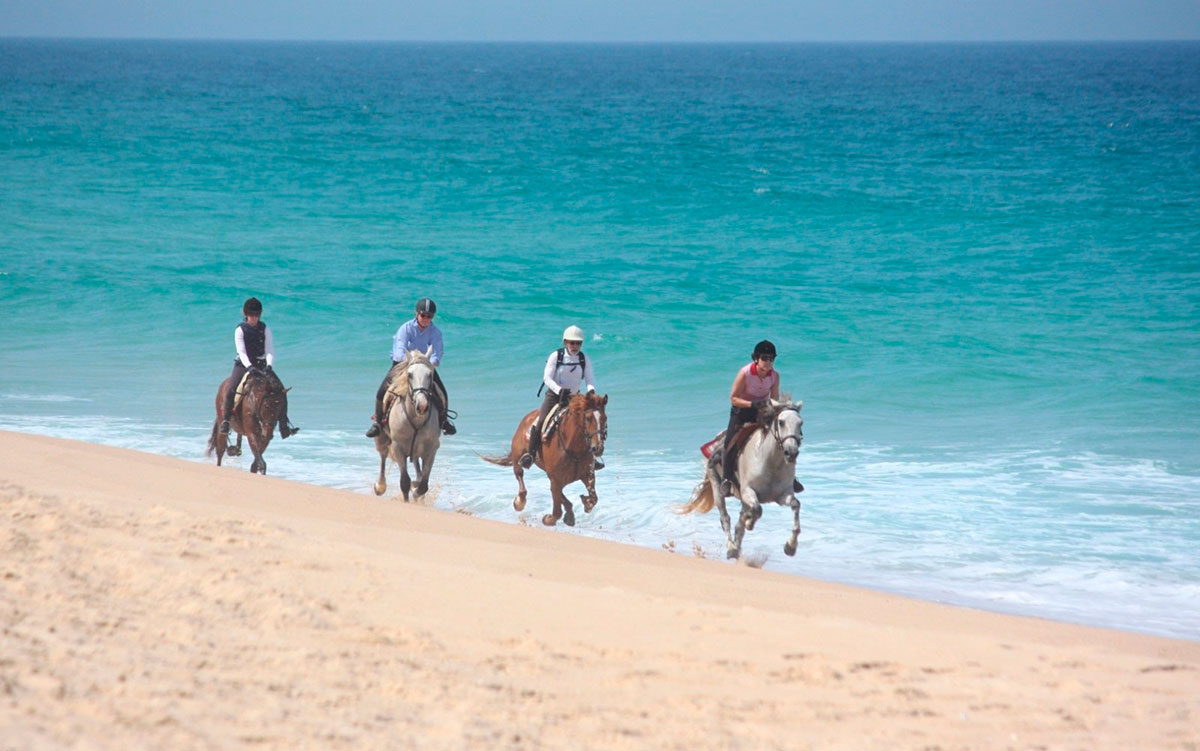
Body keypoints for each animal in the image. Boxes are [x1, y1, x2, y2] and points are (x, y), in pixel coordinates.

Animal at [372, 345, 444, 499]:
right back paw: (380, 486)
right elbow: (404, 482)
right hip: (383, 437)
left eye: (430, 374)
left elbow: (423, 484)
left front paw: (417, 493)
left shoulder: (431, 449)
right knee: (383, 455)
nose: (422, 406)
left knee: (417, 466)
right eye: (410, 374)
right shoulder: (398, 447)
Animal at [480, 391, 609, 525]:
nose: (598, 448)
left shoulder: (587, 476)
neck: (574, 450)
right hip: (518, 458)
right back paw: (519, 502)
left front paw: (585, 502)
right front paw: (549, 518)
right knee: (520, 476)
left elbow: (593, 499)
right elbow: (557, 511)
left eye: (605, 418)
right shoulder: (556, 478)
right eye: (588, 418)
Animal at [686, 400, 806, 559]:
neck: (770, 461)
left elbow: (796, 505)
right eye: (781, 422)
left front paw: (790, 547)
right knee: (725, 518)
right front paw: (750, 523)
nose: (791, 453)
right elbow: (757, 509)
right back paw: (731, 548)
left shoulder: (782, 495)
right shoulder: (748, 491)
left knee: (739, 526)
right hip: (717, 486)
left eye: (800, 423)